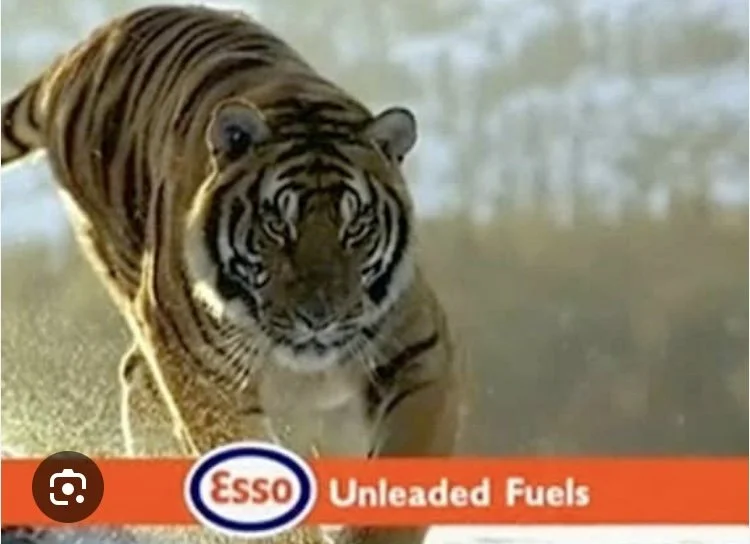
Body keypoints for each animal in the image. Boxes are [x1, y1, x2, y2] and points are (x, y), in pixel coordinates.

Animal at [1, 4, 465, 543]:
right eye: (277, 224)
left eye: (356, 226)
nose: (319, 317)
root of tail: (79, 52)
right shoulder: (202, 378)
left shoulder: (417, 356)